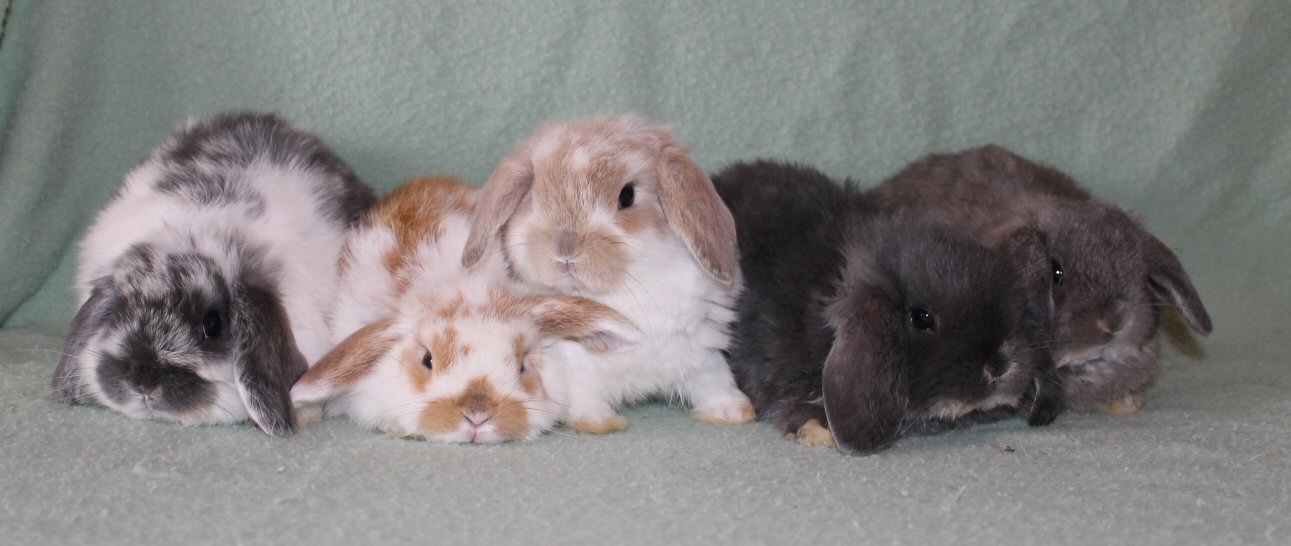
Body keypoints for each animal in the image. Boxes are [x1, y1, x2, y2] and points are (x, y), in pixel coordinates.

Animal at [459, 115, 755, 433]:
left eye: (627, 195)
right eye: (534, 195)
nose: (565, 248)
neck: (623, 291)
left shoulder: (700, 345)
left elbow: (713, 379)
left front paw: (732, 411)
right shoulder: (569, 361)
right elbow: (581, 393)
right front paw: (596, 420)